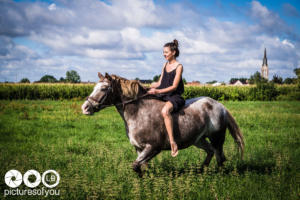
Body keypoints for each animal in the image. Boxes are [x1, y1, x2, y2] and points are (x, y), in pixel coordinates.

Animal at [81, 72, 244, 174]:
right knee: (211, 152)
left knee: (220, 157)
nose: (85, 108)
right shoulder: (139, 149)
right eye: (94, 87)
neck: (138, 112)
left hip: (217, 138)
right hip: (198, 140)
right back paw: (200, 172)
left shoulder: (153, 147)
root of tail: (220, 105)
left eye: (103, 88)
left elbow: (136, 165)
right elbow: (141, 167)